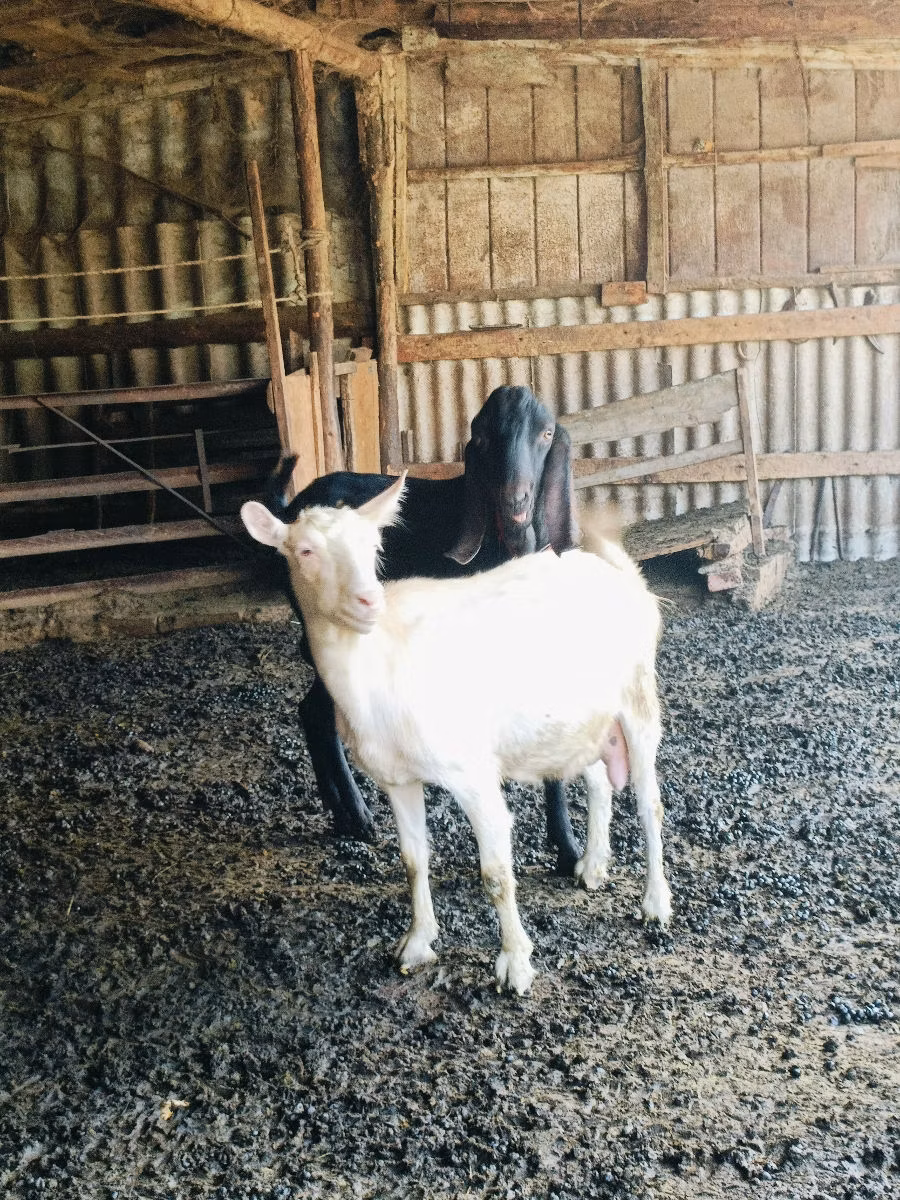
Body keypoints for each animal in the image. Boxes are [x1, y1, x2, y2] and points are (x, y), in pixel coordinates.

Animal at [241, 475, 671, 995]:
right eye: (305, 550)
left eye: (373, 546)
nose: (369, 601)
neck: (377, 662)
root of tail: (617, 572)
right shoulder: (398, 778)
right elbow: (413, 860)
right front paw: (417, 943)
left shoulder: (472, 773)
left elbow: (496, 874)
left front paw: (515, 965)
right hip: (580, 721)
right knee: (599, 781)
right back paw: (592, 865)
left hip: (638, 698)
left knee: (649, 804)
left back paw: (655, 904)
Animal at [267, 384, 602, 876]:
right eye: (481, 438)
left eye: (546, 433)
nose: (514, 504)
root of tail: (291, 514)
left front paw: (567, 851)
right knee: (317, 711)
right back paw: (357, 815)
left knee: (313, 711)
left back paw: (344, 814)